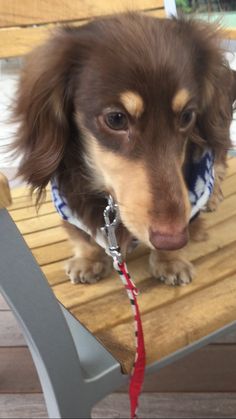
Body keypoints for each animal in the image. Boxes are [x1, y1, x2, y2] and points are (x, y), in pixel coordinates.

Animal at [12, 14, 236, 288]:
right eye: (116, 119)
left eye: (187, 116)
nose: (174, 238)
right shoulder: (66, 202)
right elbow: (81, 237)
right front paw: (87, 260)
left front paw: (171, 260)